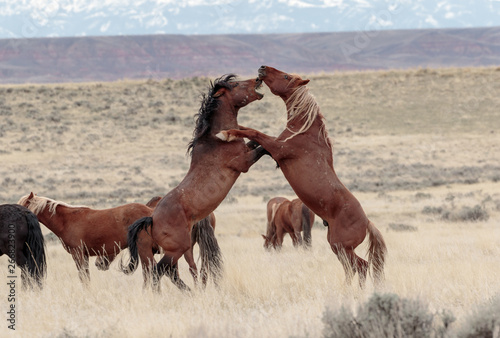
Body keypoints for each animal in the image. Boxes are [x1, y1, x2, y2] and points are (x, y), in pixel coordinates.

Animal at [120, 74, 266, 290]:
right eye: (235, 84)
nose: (257, 78)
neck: (215, 139)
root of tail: (152, 219)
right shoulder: (244, 162)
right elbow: (264, 147)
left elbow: (256, 140)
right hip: (177, 249)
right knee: (159, 272)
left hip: (181, 248)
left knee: (169, 271)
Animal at [218, 66, 386, 288]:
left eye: (286, 76)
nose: (262, 69)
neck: (305, 132)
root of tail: (366, 222)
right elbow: (249, 131)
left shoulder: (277, 148)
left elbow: (255, 132)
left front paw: (225, 133)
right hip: (336, 246)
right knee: (352, 268)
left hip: (342, 246)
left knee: (362, 266)